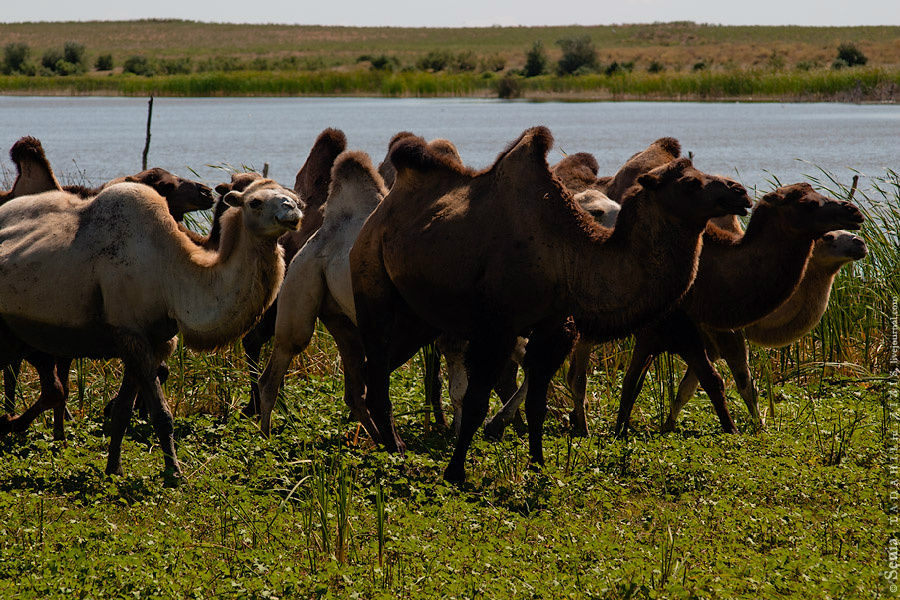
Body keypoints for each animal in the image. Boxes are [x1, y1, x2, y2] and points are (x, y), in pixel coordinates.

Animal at [0, 175, 302, 478]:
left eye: (294, 197)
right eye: (255, 202)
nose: (293, 212)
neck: (171, 275)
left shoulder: (156, 340)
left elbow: (123, 410)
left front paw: (114, 469)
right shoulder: (131, 332)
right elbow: (162, 413)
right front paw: (174, 475)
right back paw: (12, 424)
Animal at [352, 127, 752, 482]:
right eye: (690, 183)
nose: (741, 192)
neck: (567, 255)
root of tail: (382, 210)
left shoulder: (554, 327)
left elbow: (537, 405)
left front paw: (538, 465)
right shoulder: (496, 327)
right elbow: (477, 401)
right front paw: (455, 473)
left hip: (417, 317)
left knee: (377, 371)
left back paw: (391, 445)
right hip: (373, 286)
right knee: (377, 370)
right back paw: (394, 449)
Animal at [612, 182, 864, 436]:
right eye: (808, 203)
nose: (853, 213)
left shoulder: (688, 336)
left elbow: (675, 384)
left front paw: (656, 426)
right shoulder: (699, 330)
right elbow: (732, 381)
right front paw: (747, 428)